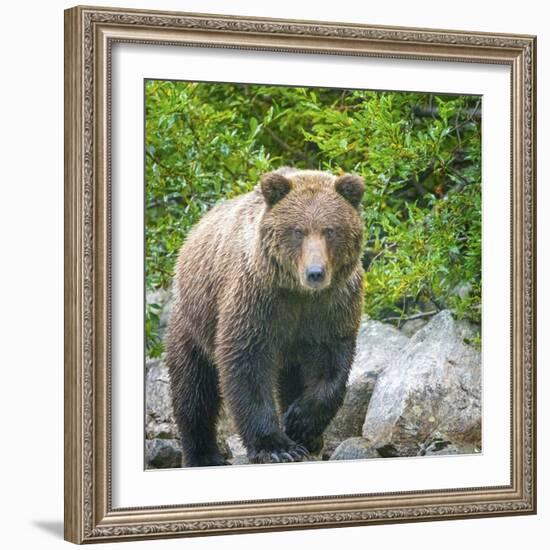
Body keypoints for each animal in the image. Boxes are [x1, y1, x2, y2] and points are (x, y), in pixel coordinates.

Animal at [167, 167, 366, 466]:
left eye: (330, 230)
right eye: (298, 231)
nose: (315, 273)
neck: (299, 293)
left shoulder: (331, 307)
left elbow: (332, 364)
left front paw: (300, 423)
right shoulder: (257, 299)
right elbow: (246, 363)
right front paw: (275, 446)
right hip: (193, 319)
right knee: (193, 387)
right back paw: (203, 454)